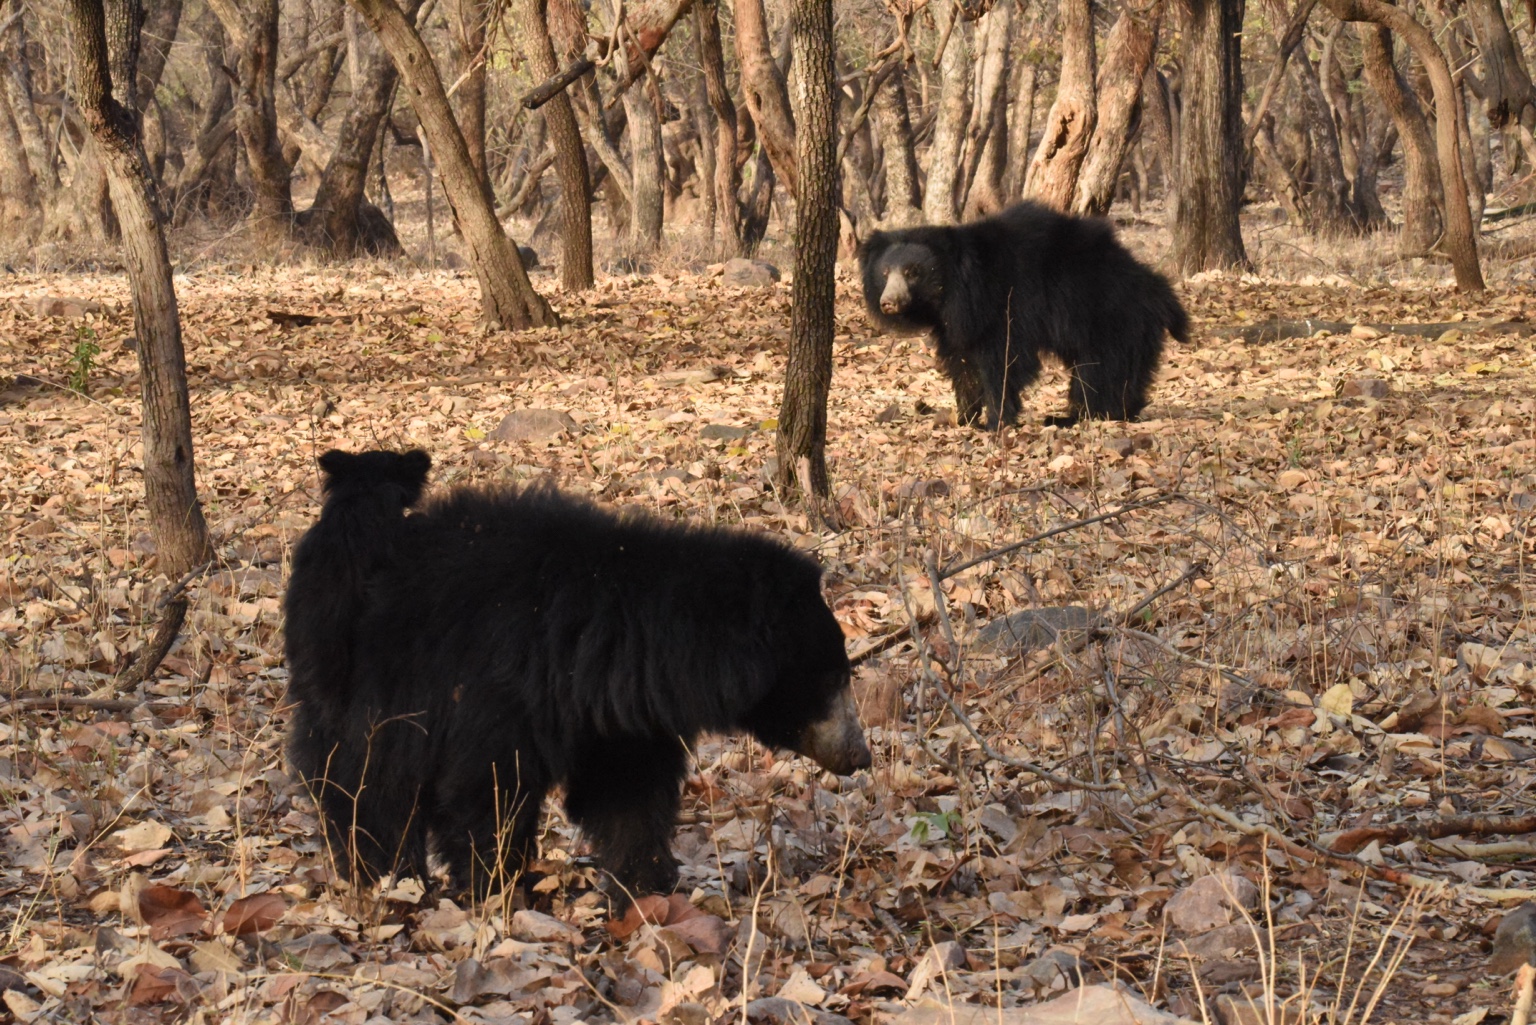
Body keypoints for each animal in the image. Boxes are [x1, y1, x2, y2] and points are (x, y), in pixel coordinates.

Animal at [283, 449, 870, 905]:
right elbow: (486, 786)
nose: (860, 756)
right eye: (832, 679)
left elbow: (627, 791)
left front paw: (645, 883)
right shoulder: (501, 681)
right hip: (367, 680)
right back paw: (381, 872)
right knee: (364, 783)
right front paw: (494, 883)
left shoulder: (615, 713)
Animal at [859, 201, 1189, 428]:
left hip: (1110, 315)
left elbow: (1004, 361)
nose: (888, 302)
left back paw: (1089, 414)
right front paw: (962, 418)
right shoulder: (955, 321)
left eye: (912, 272)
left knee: (1101, 369)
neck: (958, 287)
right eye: (885, 273)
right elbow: (963, 361)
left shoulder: (1005, 305)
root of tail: (1156, 286)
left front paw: (995, 421)